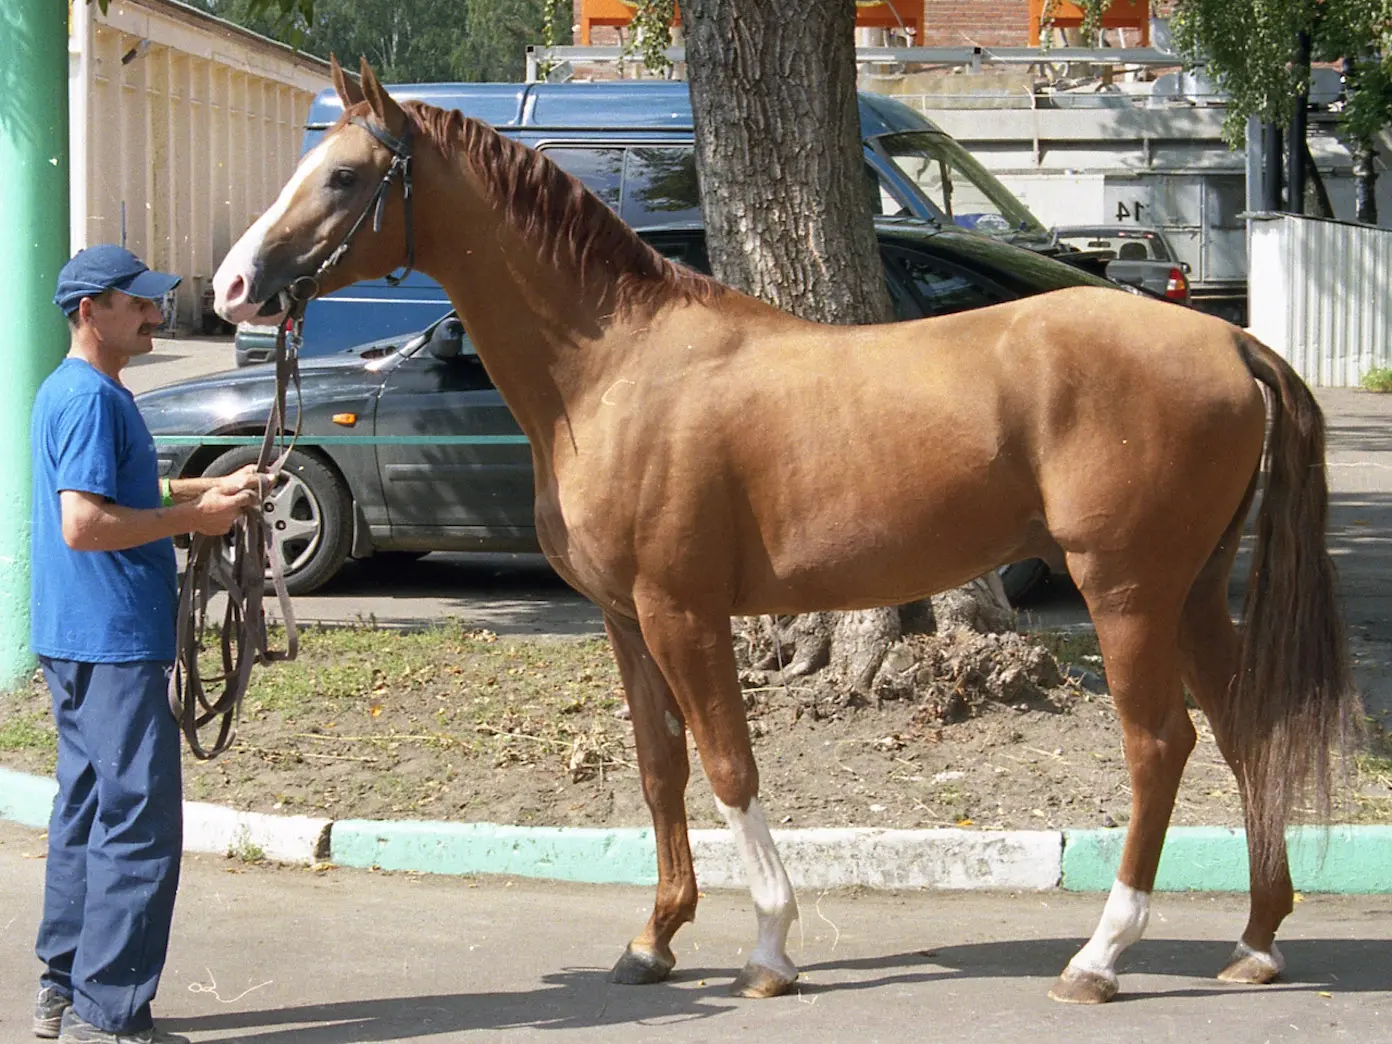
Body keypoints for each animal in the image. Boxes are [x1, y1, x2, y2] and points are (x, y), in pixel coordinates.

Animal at [211, 59, 1353, 1007]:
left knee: (1161, 747)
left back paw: (1101, 957)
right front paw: (654, 940)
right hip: (1191, 592)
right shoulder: (625, 621)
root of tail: (1229, 341)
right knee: (1245, 733)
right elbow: (661, 768)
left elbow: (729, 767)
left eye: (344, 176)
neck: (614, 368)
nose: (231, 287)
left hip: (1127, 595)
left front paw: (768, 947)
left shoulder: (683, 613)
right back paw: (1256, 940)